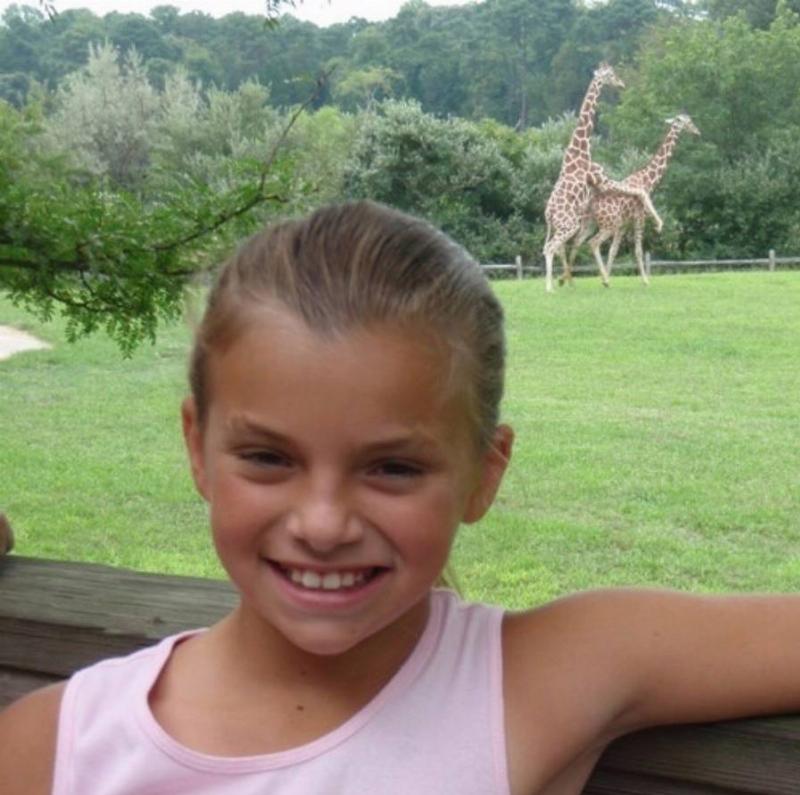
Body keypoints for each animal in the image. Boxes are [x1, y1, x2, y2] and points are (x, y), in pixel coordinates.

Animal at [542, 63, 662, 293]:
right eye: (612, 75)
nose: (621, 83)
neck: (581, 150)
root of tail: (549, 214)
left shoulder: (599, 185)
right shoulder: (601, 179)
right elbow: (637, 189)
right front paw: (659, 221)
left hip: (563, 226)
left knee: (555, 246)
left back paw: (564, 281)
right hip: (569, 225)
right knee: (552, 247)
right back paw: (551, 287)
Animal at [567, 114, 700, 286]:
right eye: (688, 121)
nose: (697, 131)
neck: (647, 180)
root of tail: (591, 205)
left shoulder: (624, 224)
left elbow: (613, 250)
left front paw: (607, 276)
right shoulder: (639, 216)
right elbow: (637, 251)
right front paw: (644, 280)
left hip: (590, 223)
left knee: (577, 241)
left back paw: (570, 280)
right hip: (608, 224)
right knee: (593, 243)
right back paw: (600, 279)